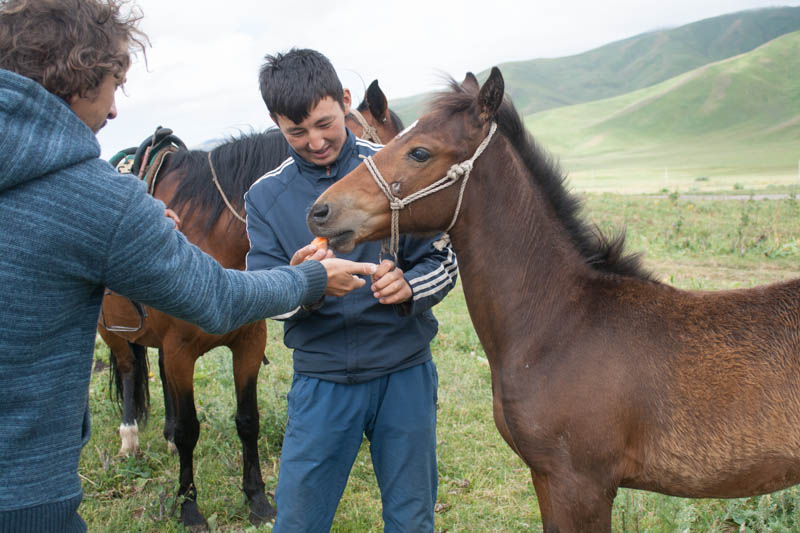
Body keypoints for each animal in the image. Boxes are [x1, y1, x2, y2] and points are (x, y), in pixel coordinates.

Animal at [97, 81, 404, 528]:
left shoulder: (247, 343)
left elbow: (248, 421)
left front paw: (257, 499)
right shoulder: (180, 350)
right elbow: (190, 429)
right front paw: (189, 507)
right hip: (114, 335)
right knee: (127, 371)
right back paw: (130, 439)